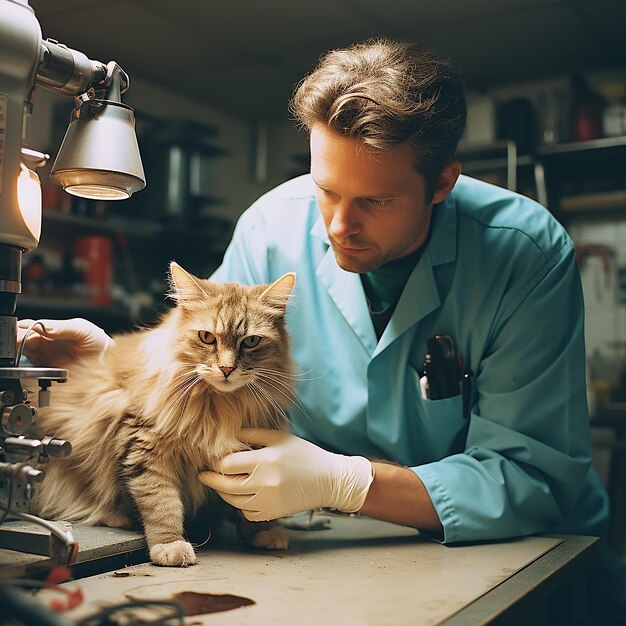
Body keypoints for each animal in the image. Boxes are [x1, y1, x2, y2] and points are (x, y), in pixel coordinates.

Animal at [33, 262, 296, 564]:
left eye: (251, 341)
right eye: (207, 337)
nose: (227, 369)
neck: (220, 404)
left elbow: (251, 504)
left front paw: (263, 530)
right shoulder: (144, 447)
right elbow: (162, 503)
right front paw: (170, 545)